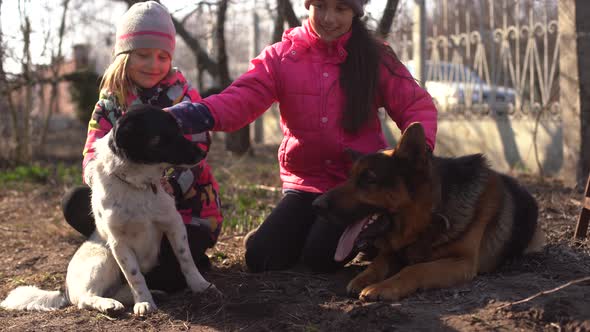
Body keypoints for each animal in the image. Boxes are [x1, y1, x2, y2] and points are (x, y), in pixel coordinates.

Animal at [1, 105, 219, 316]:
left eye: (180, 129)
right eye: (164, 135)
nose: (203, 154)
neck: (138, 185)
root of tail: (65, 290)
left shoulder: (173, 224)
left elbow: (185, 258)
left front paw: (200, 285)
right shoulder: (118, 243)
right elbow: (134, 276)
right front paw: (144, 302)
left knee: (118, 291)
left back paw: (151, 293)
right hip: (104, 257)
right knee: (86, 298)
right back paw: (109, 304)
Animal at [314, 123, 544, 302]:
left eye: (369, 179)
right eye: (349, 178)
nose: (316, 205)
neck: (433, 212)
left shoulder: (462, 262)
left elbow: (416, 268)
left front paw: (383, 287)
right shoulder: (393, 250)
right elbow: (378, 263)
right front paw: (364, 278)